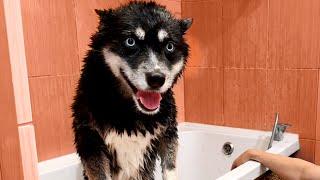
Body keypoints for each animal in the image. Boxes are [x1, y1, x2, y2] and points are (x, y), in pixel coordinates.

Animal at [72, 1, 191, 180]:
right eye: (130, 41)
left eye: (169, 46)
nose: (157, 78)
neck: (131, 113)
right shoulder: (90, 139)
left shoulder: (168, 131)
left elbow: (170, 167)